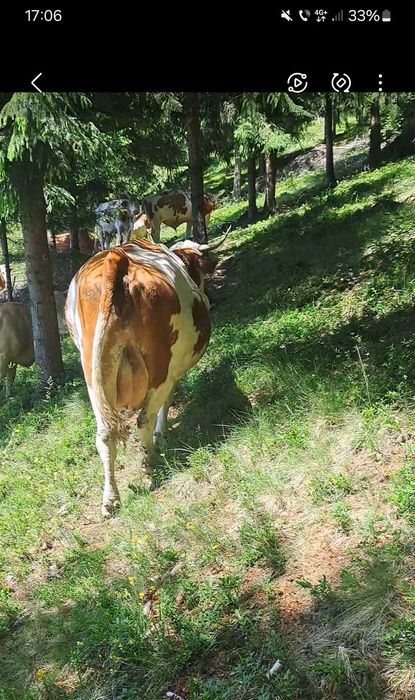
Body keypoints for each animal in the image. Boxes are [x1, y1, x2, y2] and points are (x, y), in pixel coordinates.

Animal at [65, 229, 229, 516]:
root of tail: (116, 258)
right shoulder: (173, 373)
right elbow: (166, 403)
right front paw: (160, 436)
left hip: (93, 372)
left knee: (105, 433)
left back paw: (110, 498)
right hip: (160, 367)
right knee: (144, 418)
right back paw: (151, 460)